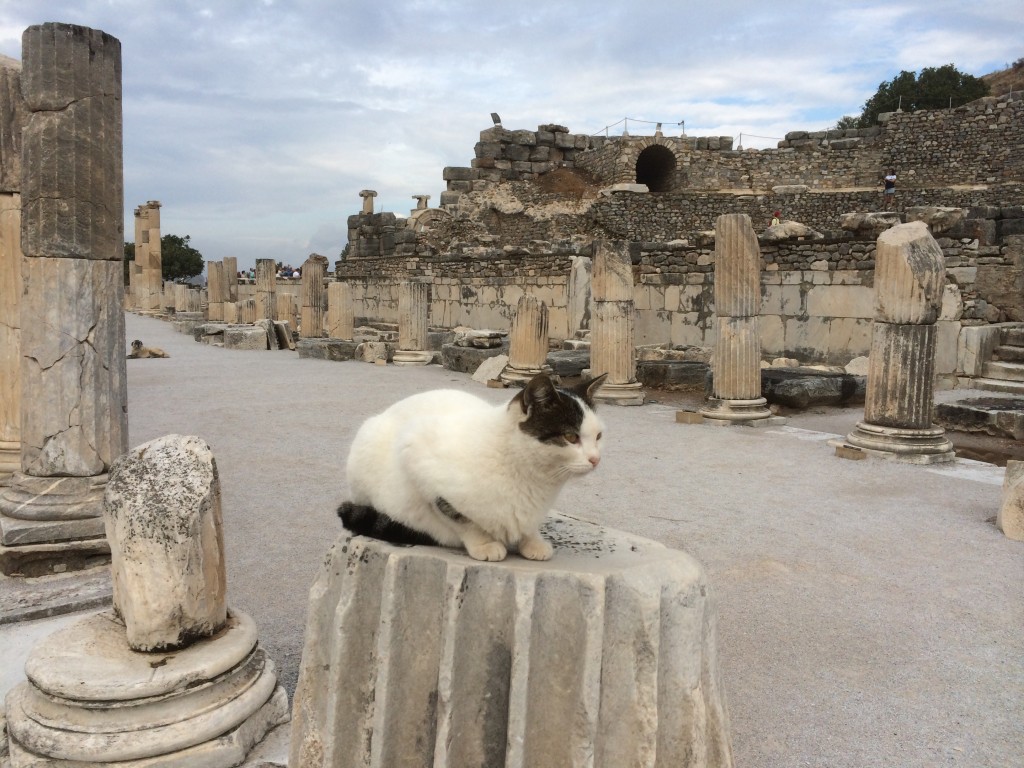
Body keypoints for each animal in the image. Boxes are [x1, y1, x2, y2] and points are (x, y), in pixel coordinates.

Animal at [339, 374, 602, 561]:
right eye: (570, 437)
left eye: (598, 436)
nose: (596, 459)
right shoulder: (415, 452)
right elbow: (461, 519)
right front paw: (484, 544)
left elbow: (529, 525)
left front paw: (533, 541)